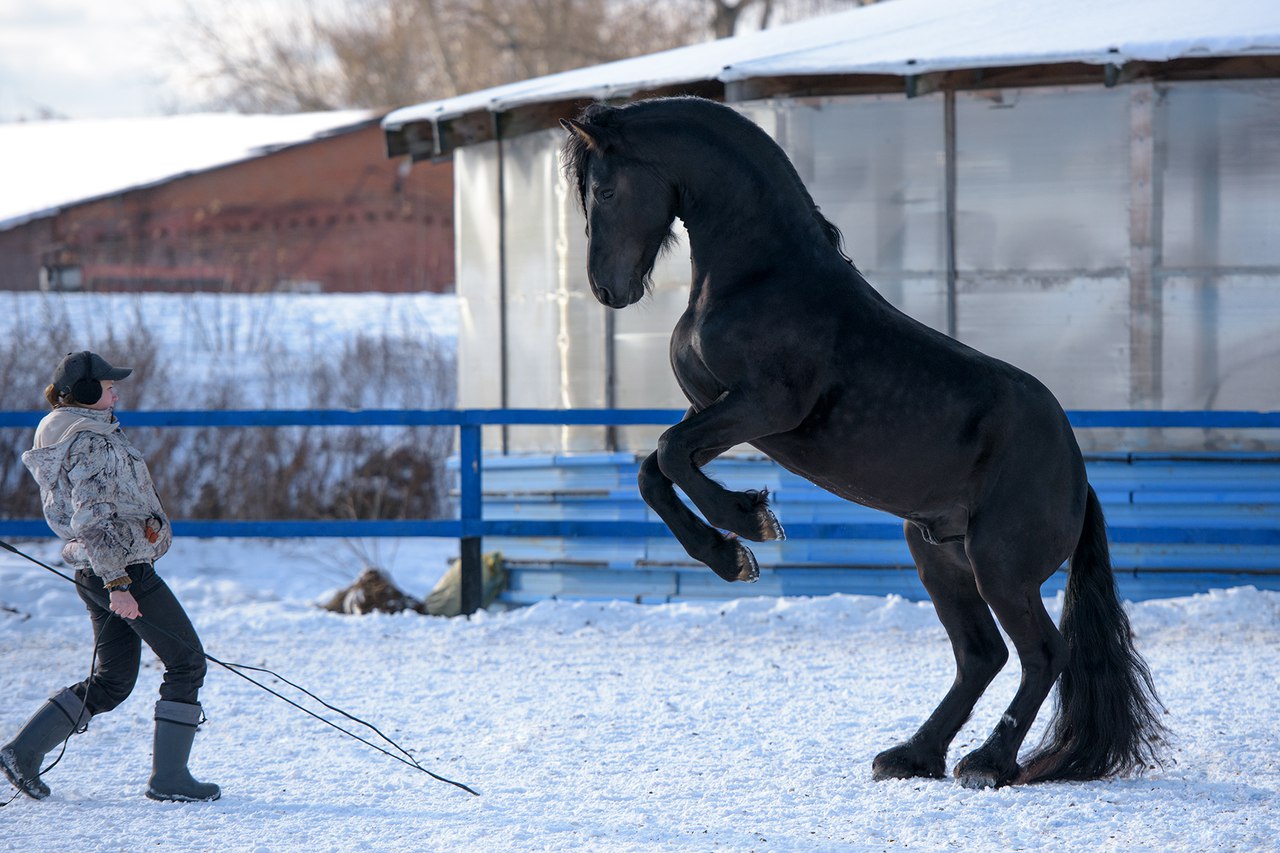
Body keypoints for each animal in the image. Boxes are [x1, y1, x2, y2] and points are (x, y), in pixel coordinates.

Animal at [560, 94, 1172, 783]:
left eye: (605, 190)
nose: (607, 289)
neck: (759, 275)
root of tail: (1077, 473)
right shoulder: (721, 412)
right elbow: (656, 468)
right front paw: (731, 550)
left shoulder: (766, 407)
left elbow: (667, 455)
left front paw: (748, 527)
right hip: (939, 555)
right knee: (981, 655)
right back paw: (912, 755)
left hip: (1001, 565)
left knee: (1043, 652)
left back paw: (987, 763)